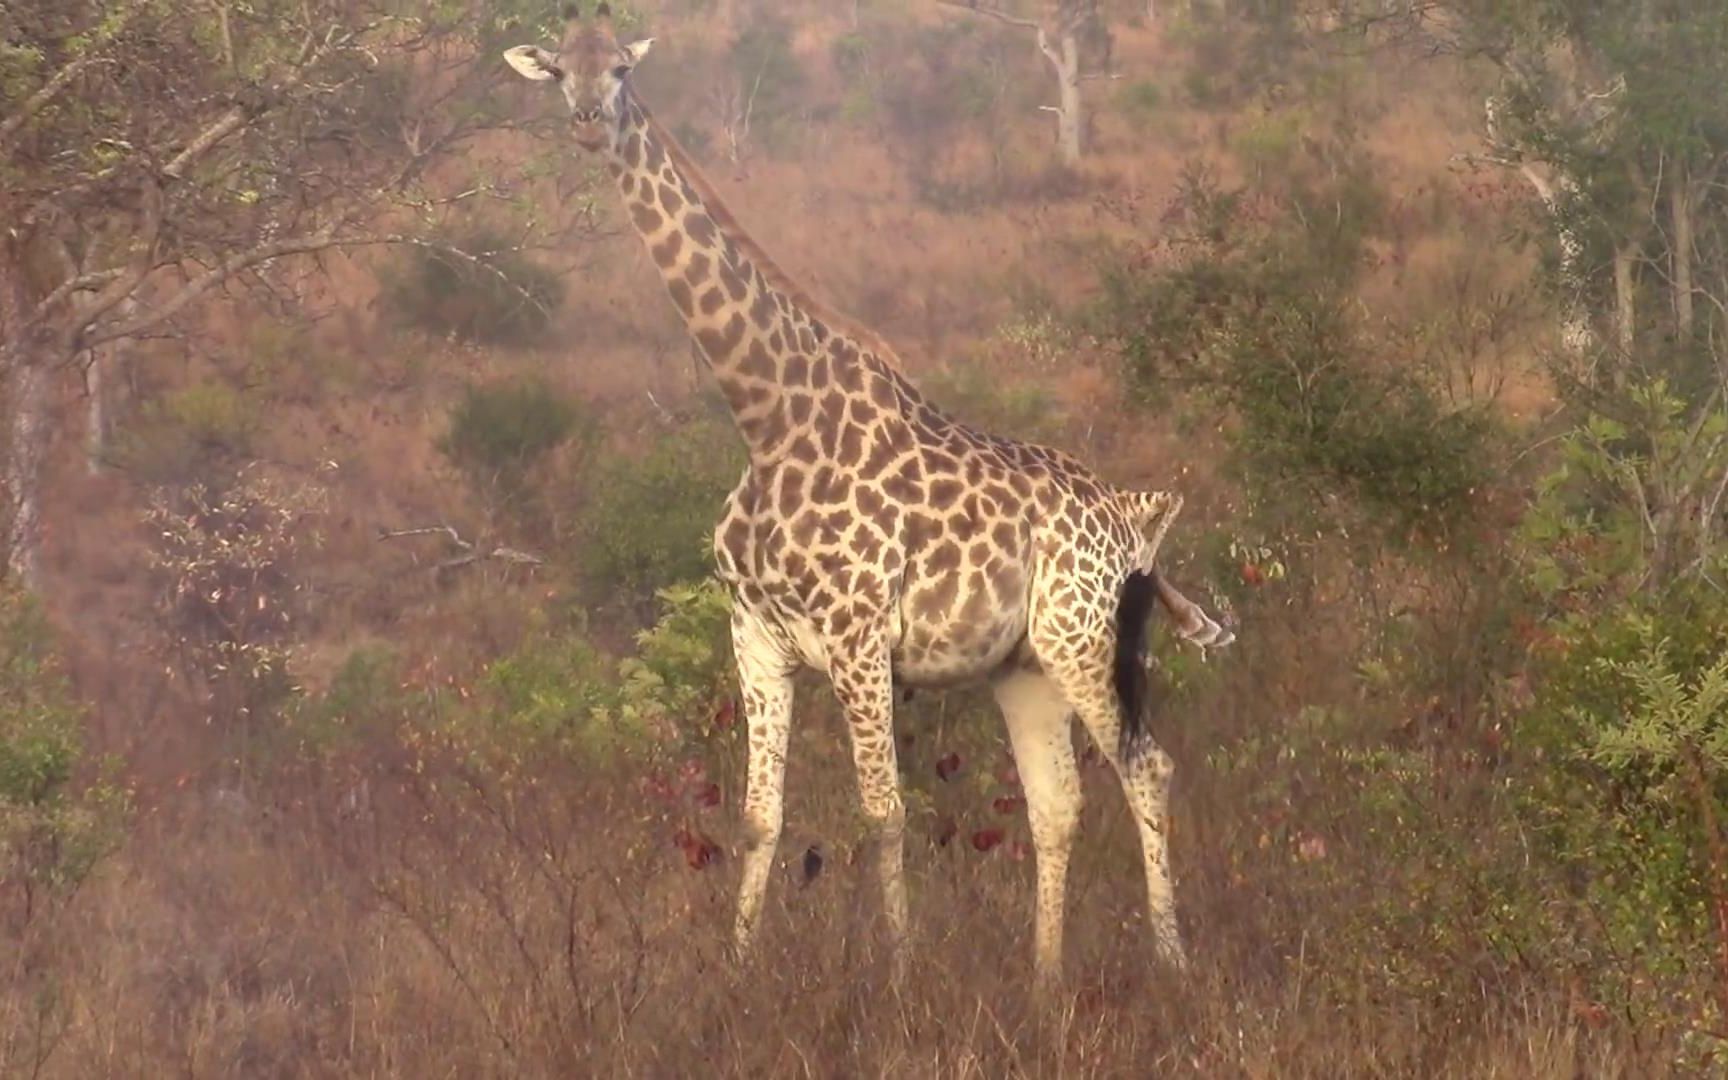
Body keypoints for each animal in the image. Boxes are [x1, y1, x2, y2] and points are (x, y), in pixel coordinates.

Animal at [501, 6, 1230, 988]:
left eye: (620, 68)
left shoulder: (856, 635)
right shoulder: (756, 636)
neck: (767, 419)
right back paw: (1044, 982)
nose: (586, 121)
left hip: (1087, 641)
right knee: (1058, 801)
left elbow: (884, 811)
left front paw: (899, 976)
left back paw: (1173, 962)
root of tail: (1137, 523)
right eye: (557, 71)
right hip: (1024, 665)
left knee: (1146, 768)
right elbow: (759, 817)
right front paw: (738, 972)